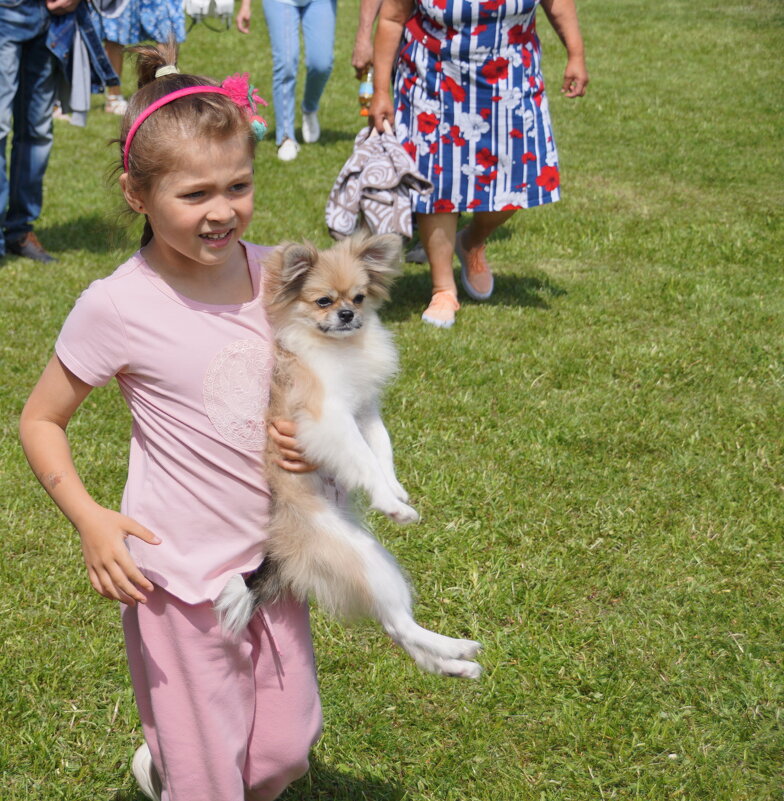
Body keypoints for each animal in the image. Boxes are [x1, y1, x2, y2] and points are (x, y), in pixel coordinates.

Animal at [217, 231, 480, 676]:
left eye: (358, 298)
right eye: (324, 301)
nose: (346, 314)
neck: (340, 348)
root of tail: (280, 546)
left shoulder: (366, 411)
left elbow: (383, 450)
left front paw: (396, 491)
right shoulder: (332, 418)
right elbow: (366, 460)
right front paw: (391, 504)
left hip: (376, 562)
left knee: (397, 627)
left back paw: (455, 663)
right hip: (359, 559)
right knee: (399, 625)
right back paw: (457, 650)